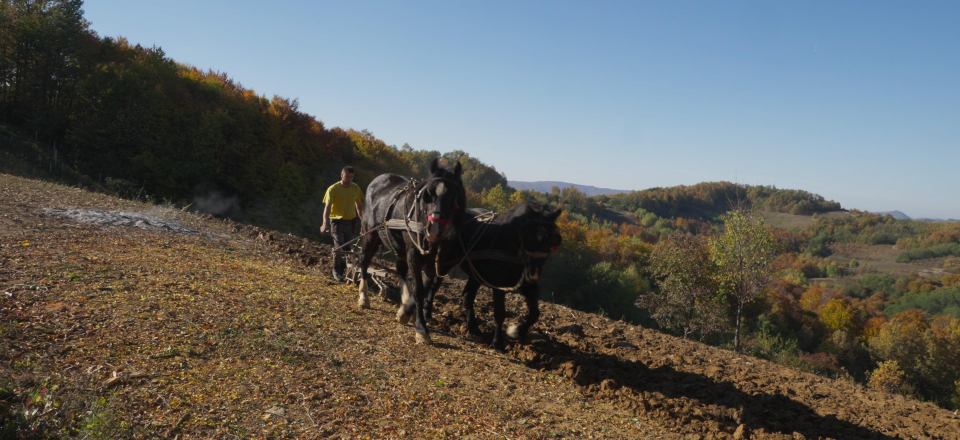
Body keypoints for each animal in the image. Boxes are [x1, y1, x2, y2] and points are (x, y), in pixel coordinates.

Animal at [398, 202, 564, 350]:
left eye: (552, 240)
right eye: (529, 235)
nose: (534, 273)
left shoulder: (528, 285)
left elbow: (535, 313)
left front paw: (516, 331)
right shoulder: (499, 285)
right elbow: (499, 314)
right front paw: (498, 343)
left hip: (473, 273)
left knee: (466, 295)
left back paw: (473, 329)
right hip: (445, 263)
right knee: (434, 286)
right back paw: (425, 312)